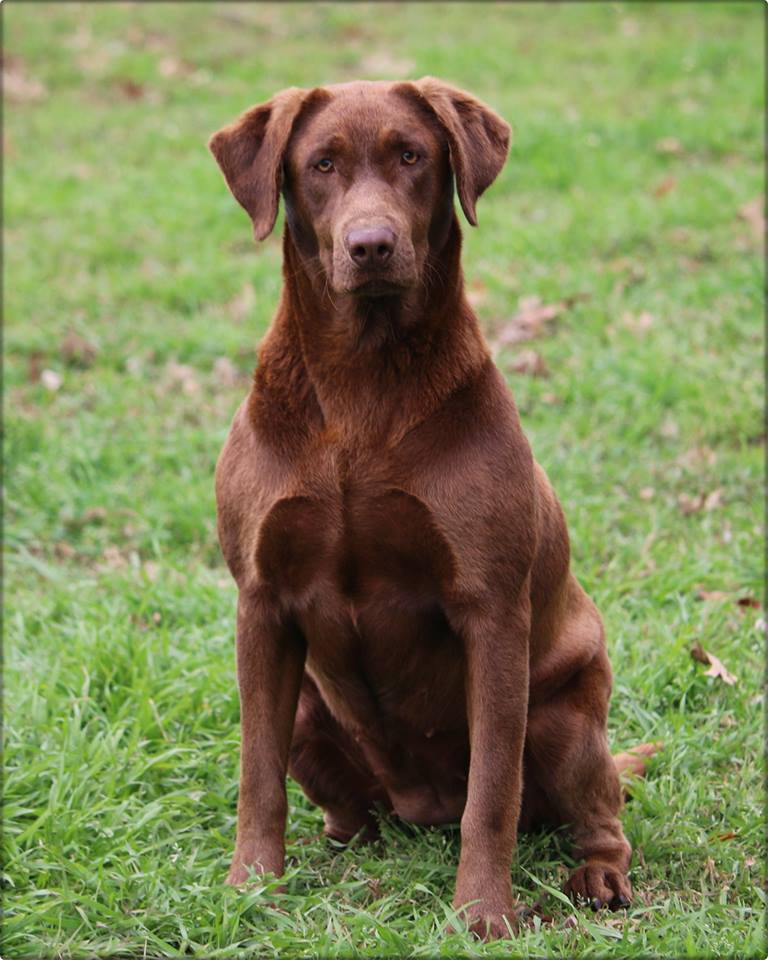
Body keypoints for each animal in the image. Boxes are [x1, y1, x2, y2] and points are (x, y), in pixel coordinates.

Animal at [210, 79, 632, 940]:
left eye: (412, 155)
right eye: (321, 164)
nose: (370, 245)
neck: (362, 385)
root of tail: (418, 808)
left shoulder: (492, 613)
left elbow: (493, 793)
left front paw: (482, 912)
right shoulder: (260, 606)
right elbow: (256, 777)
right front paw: (251, 889)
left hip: (566, 720)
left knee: (597, 807)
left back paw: (601, 875)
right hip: (308, 713)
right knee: (346, 804)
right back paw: (344, 842)